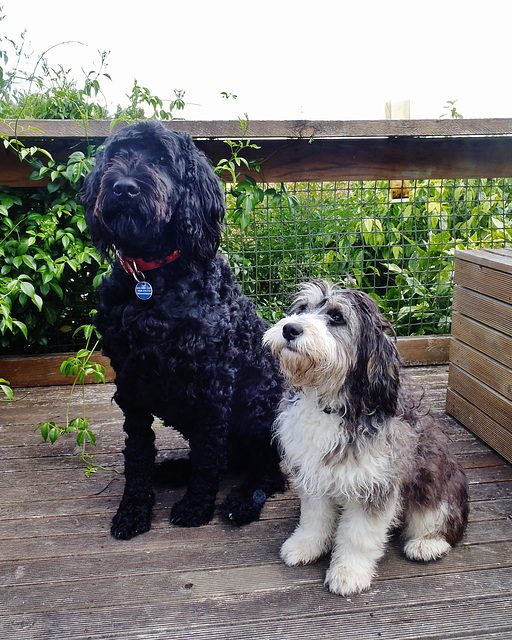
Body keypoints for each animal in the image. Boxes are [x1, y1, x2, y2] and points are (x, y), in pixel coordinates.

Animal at [82, 121, 286, 540]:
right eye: (116, 156)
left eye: (162, 159)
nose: (124, 187)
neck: (153, 280)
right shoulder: (130, 383)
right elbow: (138, 452)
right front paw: (133, 510)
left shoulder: (213, 382)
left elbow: (209, 454)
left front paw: (195, 507)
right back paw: (175, 469)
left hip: (259, 405)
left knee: (266, 470)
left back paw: (243, 500)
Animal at [264, 282, 468, 596]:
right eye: (302, 309)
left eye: (337, 317)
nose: (290, 328)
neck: (333, 406)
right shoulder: (315, 474)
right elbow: (314, 517)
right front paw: (306, 546)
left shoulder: (375, 484)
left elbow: (358, 534)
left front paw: (348, 572)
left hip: (439, 488)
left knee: (442, 523)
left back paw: (427, 543)